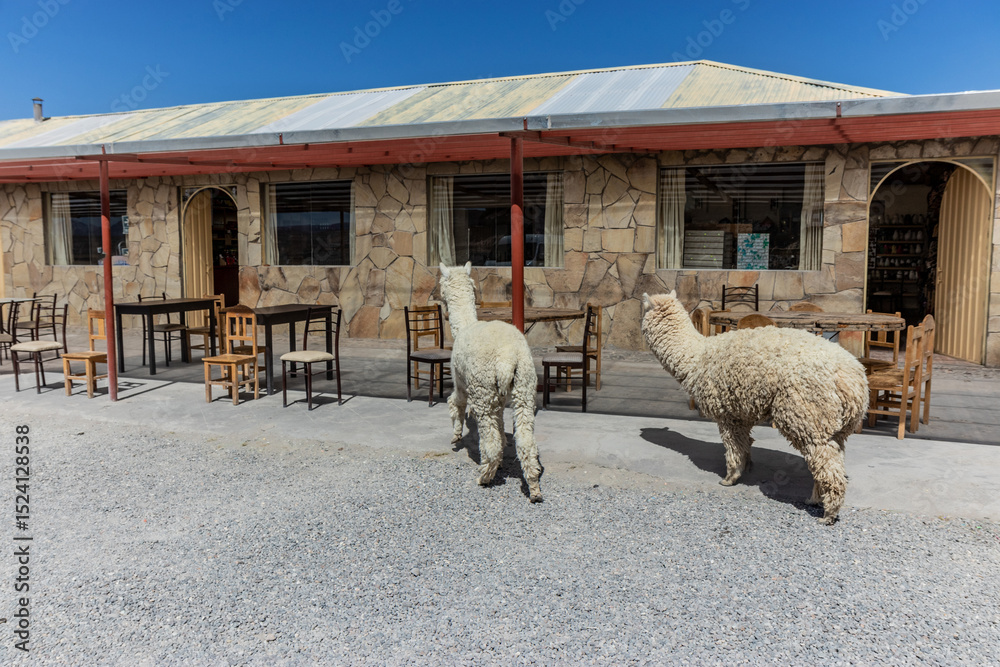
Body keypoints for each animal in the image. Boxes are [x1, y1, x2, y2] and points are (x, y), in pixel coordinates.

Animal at [438, 262, 542, 502]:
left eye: (440, 284)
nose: (439, 298)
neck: (465, 327)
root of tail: (508, 356)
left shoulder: (460, 380)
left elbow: (455, 403)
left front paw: (456, 436)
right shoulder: (500, 398)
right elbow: (501, 423)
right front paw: (505, 448)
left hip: (482, 388)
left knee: (490, 441)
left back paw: (484, 476)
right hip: (524, 385)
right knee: (526, 440)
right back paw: (534, 487)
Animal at [641, 291, 869, 524]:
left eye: (643, 308)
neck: (696, 357)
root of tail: (852, 378)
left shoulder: (727, 414)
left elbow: (733, 448)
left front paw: (729, 478)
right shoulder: (741, 412)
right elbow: (745, 443)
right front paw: (747, 467)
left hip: (808, 414)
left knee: (827, 464)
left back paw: (827, 514)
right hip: (836, 426)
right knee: (830, 460)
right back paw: (814, 500)